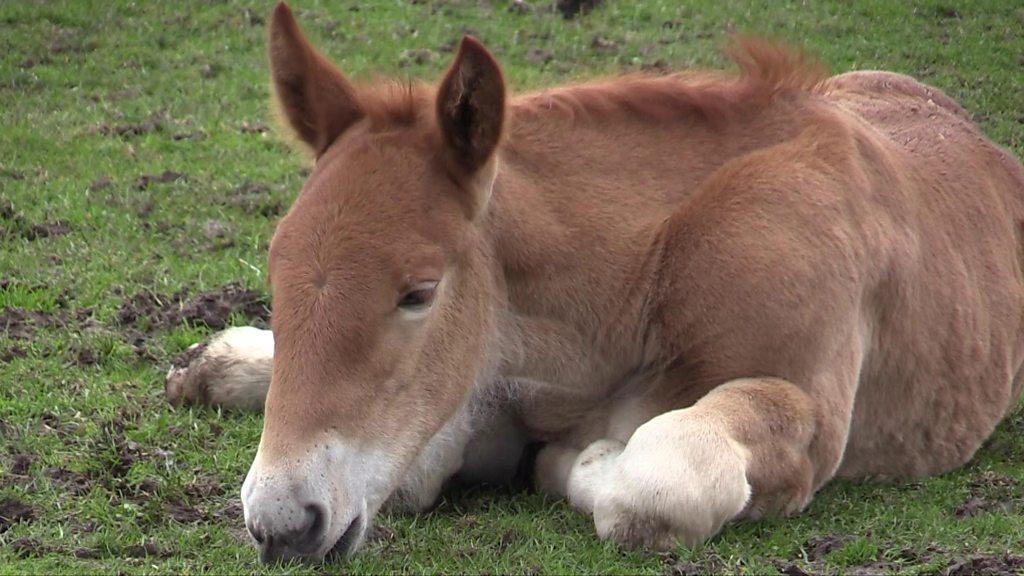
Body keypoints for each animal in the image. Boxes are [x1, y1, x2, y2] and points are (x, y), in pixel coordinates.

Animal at [163, 1, 1024, 561]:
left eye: (417, 294)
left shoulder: (809, 416)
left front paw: (575, 461)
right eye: (276, 270)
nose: (283, 525)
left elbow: (661, 478)